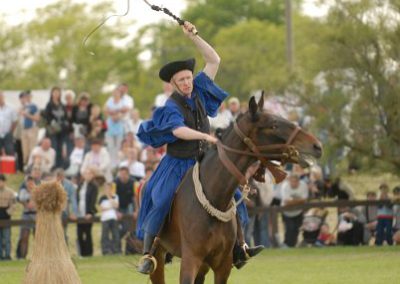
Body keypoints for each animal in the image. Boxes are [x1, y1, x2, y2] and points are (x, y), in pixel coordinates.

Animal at [147, 94, 322, 282]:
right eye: (273, 125)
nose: (317, 146)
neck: (214, 196)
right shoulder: (190, 260)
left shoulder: (222, 266)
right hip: (158, 258)